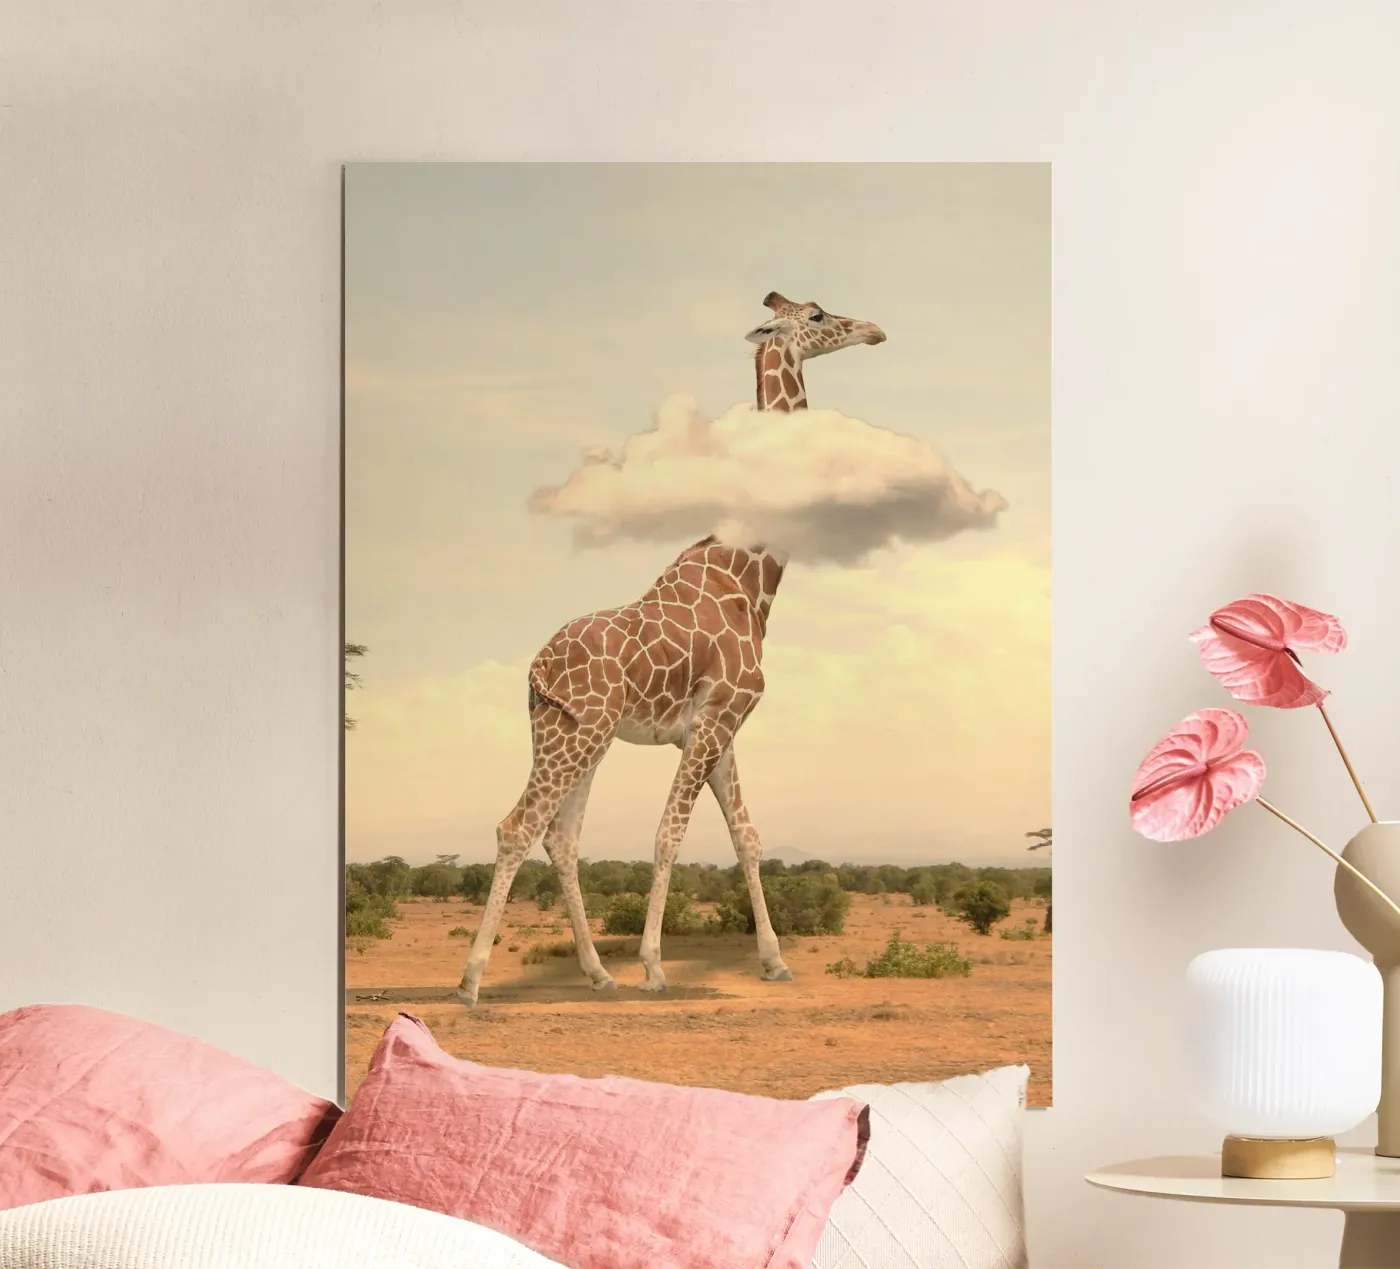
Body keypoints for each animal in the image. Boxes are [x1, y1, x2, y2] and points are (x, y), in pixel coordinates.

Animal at [456, 291, 887, 1005]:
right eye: (820, 315)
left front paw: (774, 961)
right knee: (519, 826)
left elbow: (747, 836)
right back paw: (471, 980)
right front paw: (655, 967)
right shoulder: (715, 721)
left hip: (571, 734)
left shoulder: (720, 727)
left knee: (560, 837)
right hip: (580, 735)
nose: (875, 330)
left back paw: (598, 973)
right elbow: (669, 834)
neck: (751, 578)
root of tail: (535, 671)